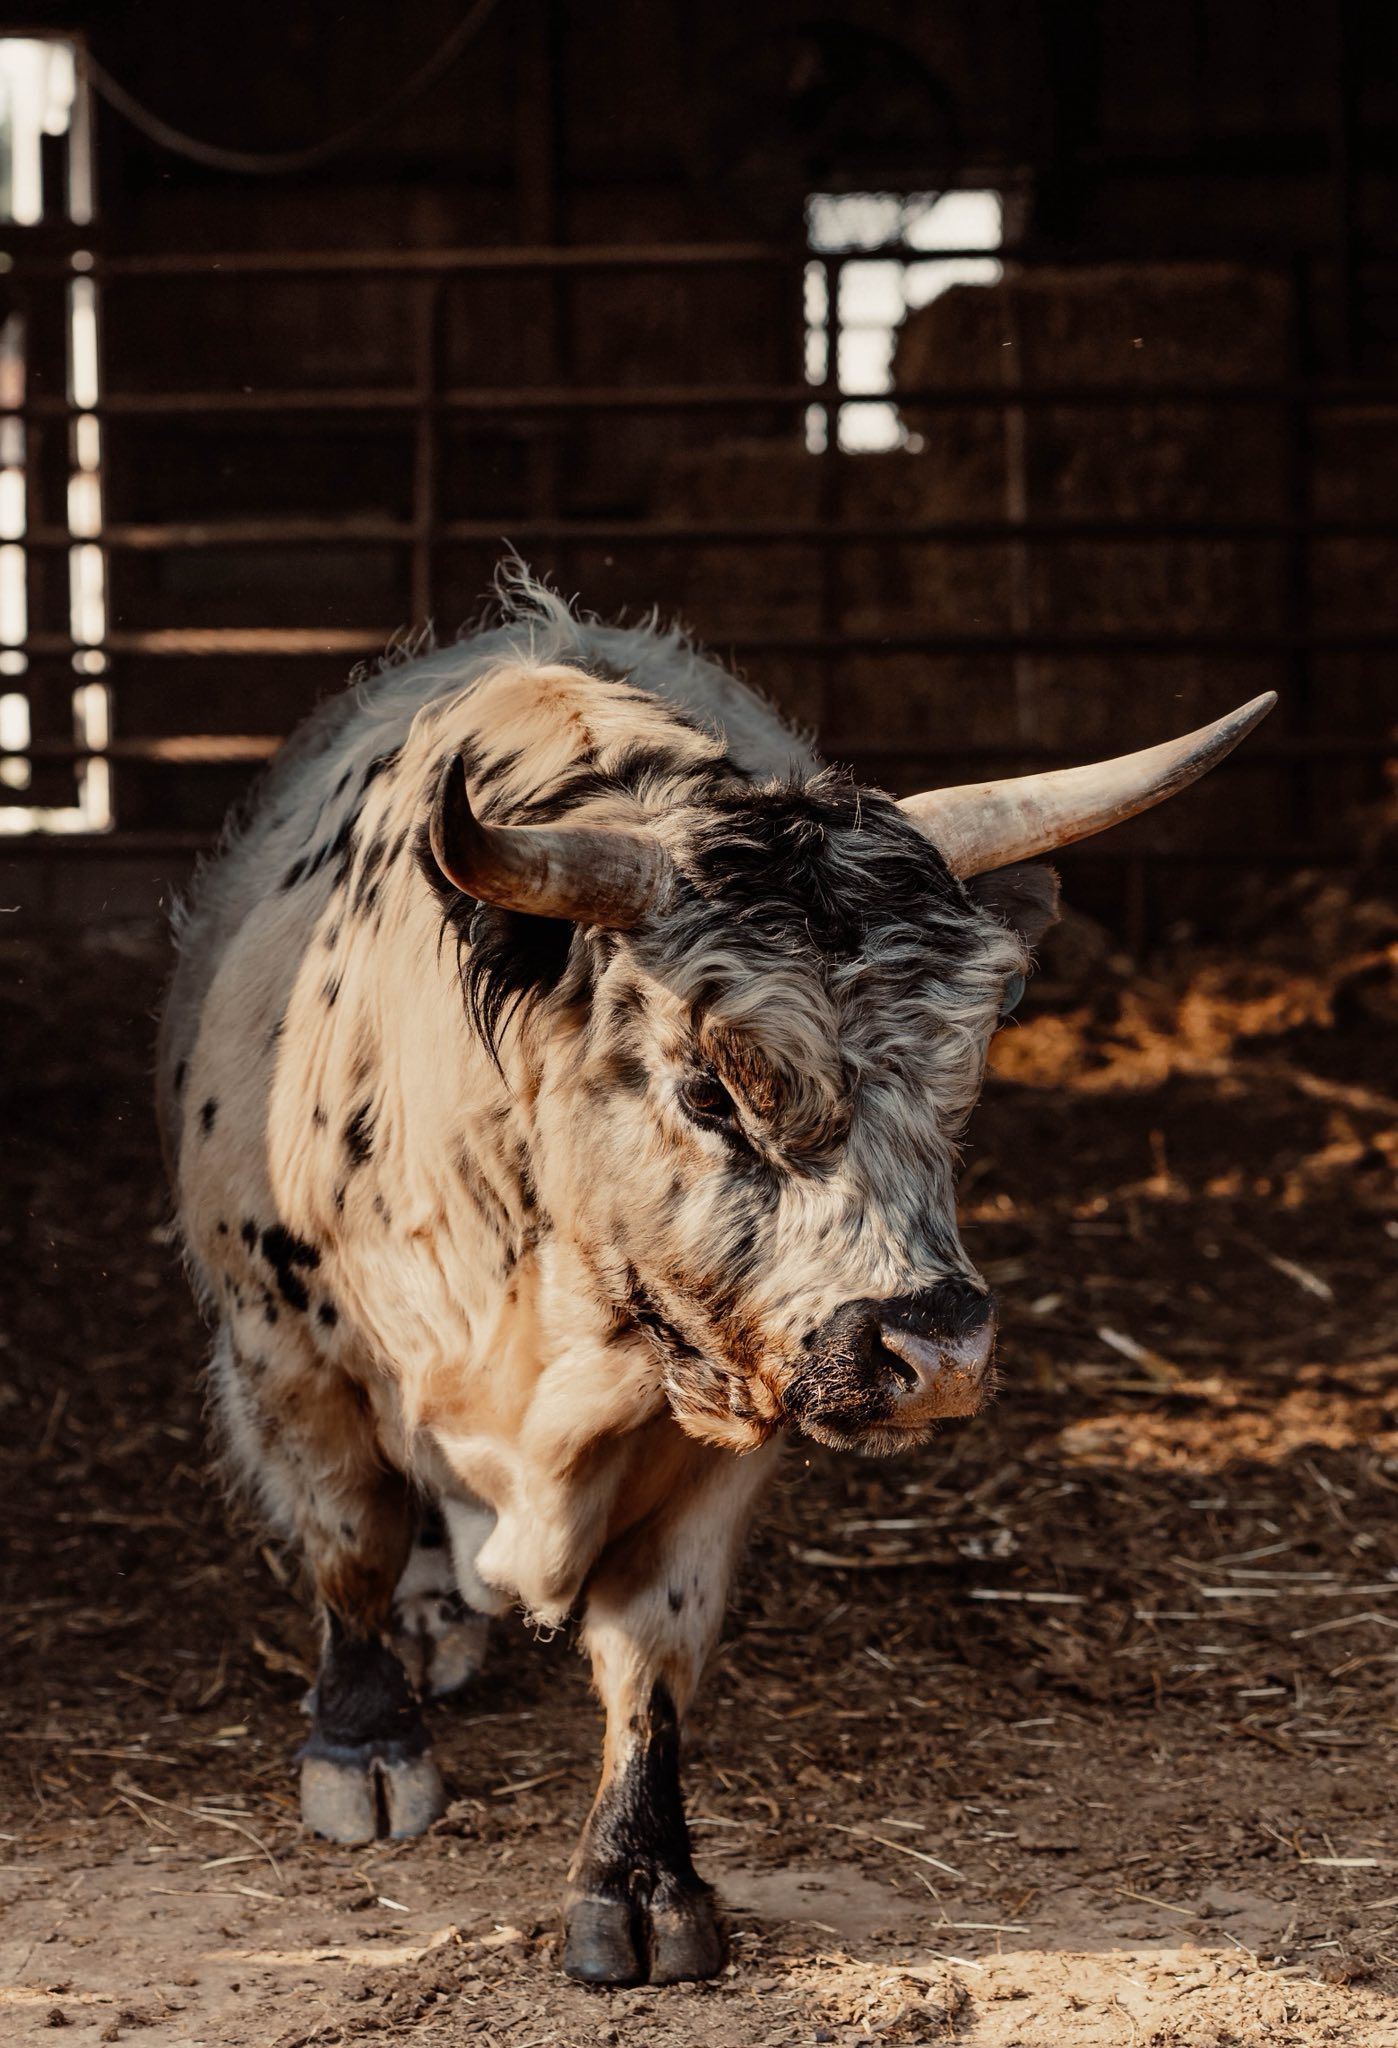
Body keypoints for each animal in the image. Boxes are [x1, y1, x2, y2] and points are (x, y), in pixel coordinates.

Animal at [157, 569, 1272, 1986]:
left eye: (962, 1078)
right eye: (707, 1086)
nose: (935, 1350)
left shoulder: (729, 1402)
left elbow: (654, 1643)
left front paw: (638, 1877)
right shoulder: (286, 1352)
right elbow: (348, 1544)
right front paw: (362, 1741)